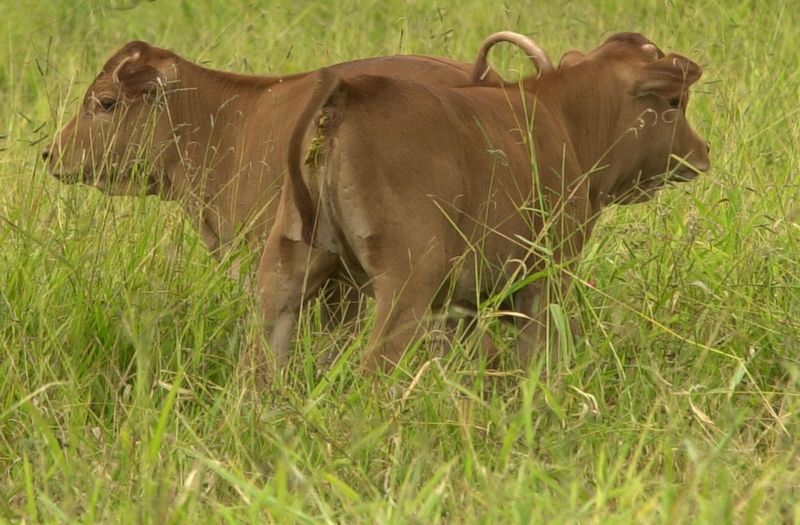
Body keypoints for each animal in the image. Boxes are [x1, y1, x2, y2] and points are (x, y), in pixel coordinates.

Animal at [260, 31, 708, 368]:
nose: (701, 152)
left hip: (283, 273)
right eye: (675, 102)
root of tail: (349, 92)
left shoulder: (461, 302)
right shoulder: (549, 275)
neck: (562, 114)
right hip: (405, 286)